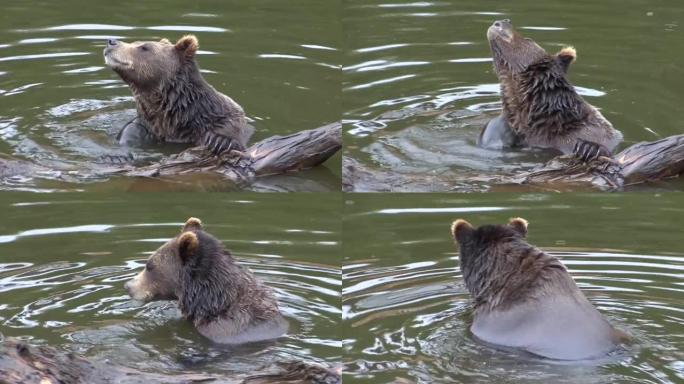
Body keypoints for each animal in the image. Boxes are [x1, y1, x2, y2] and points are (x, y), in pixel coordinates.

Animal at [101, 35, 251, 154]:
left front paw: (220, 141)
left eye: (144, 47)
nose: (111, 41)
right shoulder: (150, 125)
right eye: (136, 42)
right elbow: (132, 129)